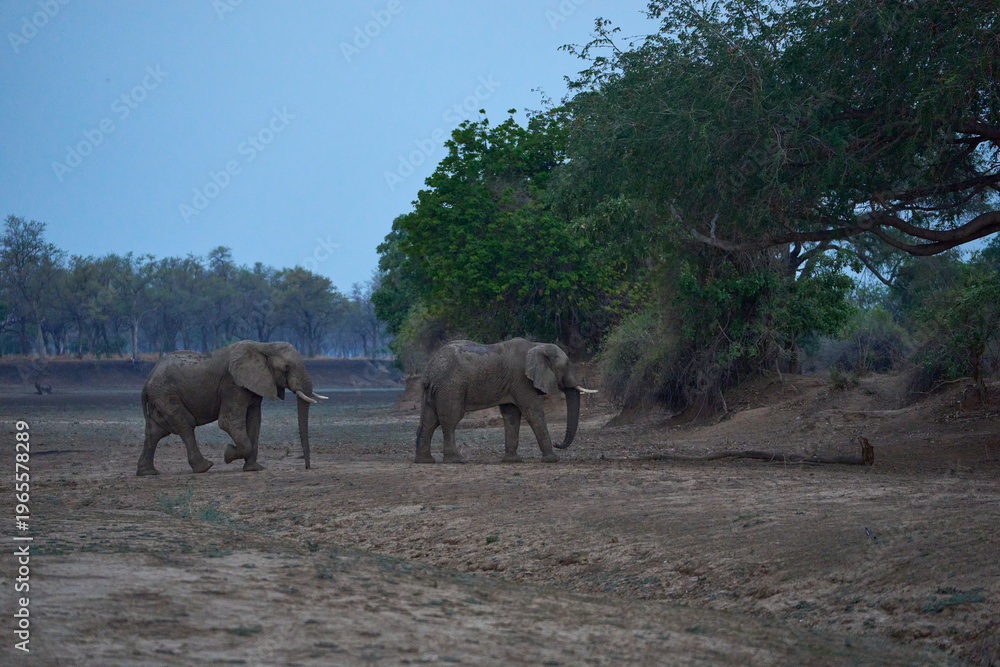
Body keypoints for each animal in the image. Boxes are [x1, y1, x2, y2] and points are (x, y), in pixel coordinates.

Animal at [136, 340, 327, 476]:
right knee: (185, 425)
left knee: (156, 431)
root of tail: (146, 381)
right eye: (286, 367)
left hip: (160, 398)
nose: (307, 467)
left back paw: (148, 473)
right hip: (166, 395)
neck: (263, 345)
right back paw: (205, 467)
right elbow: (229, 422)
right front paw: (228, 454)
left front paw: (254, 468)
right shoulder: (233, 385)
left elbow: (254, 422)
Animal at [414, 338, 597, 464]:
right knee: (450, 419)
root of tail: (429, 370)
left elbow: (511, 415)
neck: (537, 345)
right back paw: (456, 460)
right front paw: (553, 459)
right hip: (450, 387)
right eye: (566, 365)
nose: (557, 444)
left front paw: (512, 460)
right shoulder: (521, 380)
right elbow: (533, 412)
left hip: (433, 391)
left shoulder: (512, 384)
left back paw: (425, 461)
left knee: (429, 421)